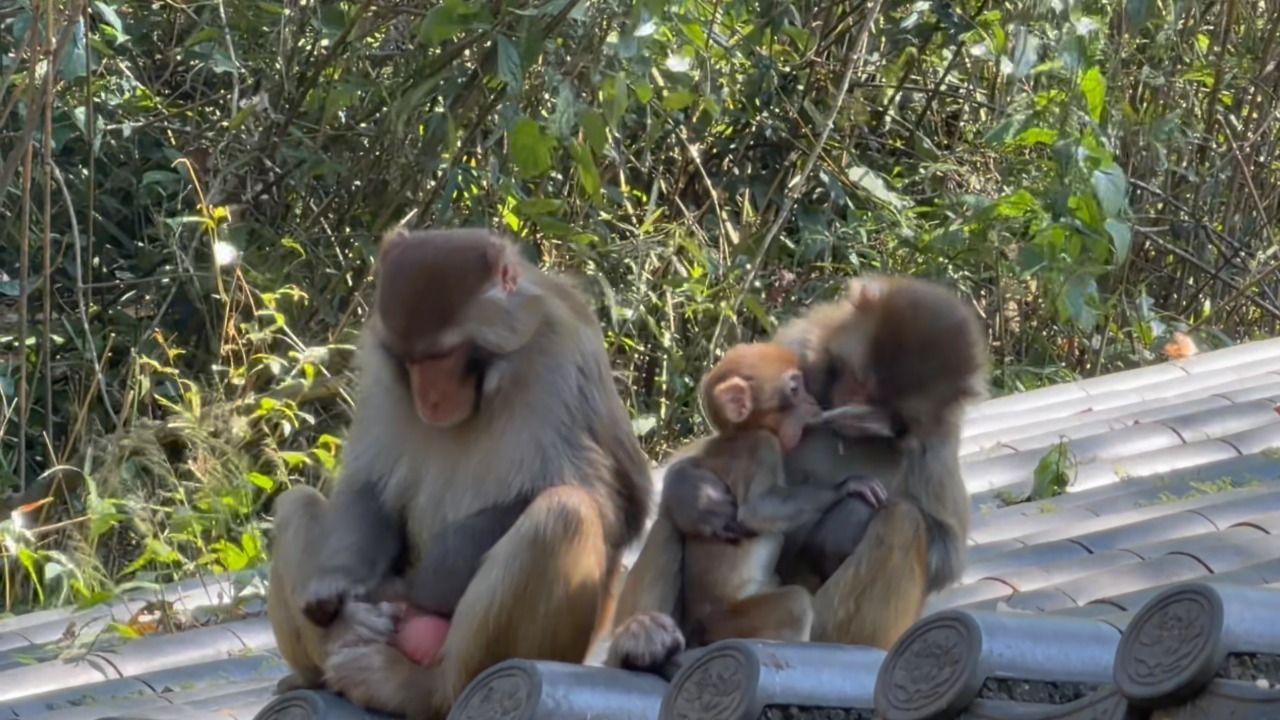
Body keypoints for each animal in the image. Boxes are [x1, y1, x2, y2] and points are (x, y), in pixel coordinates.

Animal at [266, 227, 653, 719]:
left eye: (444, 356)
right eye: (409, 361)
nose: (428, 398)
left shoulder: (563, 355)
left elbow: (613, 501)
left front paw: (414, 586)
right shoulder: (381, 371)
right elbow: (369, 485)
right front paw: (338, 589)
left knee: (565, 513)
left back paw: (420, 689)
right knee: (296, 503)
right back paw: (325, 654)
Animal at [609, 273, 986, 665]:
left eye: (889, 413)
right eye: (858, 380)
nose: (851, 411)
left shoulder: (940, 439)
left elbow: (947, 551)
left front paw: (846, 519)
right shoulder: (801, 348)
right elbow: (709, 455)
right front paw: (695, 494)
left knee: (903, 520)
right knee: (671, 519)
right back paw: (640, 636)